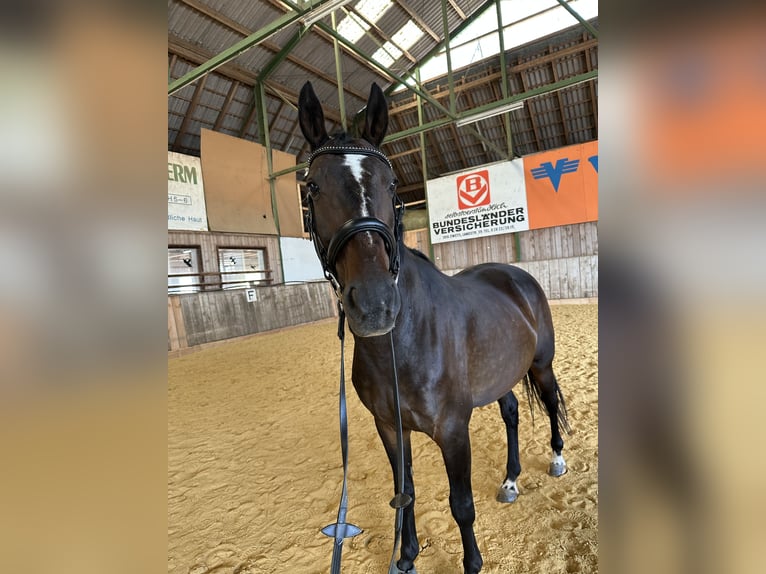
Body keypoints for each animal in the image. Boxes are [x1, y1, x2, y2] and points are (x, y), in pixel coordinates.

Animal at [298, 81, 571, 574]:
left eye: (390, 184)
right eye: (312, 186)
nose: (375, 305)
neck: (402, 342)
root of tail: (514, 275)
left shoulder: (453, 429)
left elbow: (460, 503)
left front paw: (472, 563)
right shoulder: (390, 428)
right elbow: (404, 493)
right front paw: (405, 557)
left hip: (540, 366)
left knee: (549, 400)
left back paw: (557, 459)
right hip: (502, 374)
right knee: (511, 412)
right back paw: (510, 481)